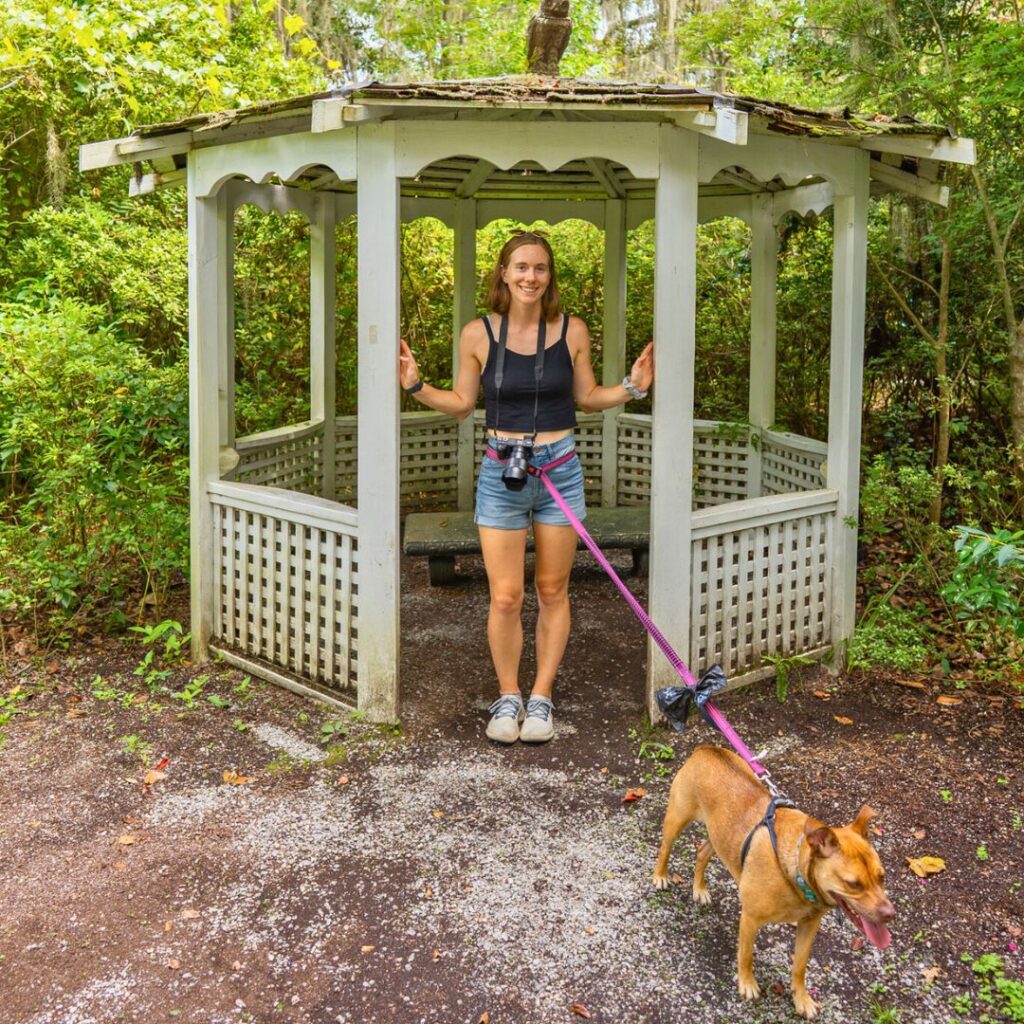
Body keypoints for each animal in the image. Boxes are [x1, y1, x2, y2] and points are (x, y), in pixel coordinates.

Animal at [651, 745, 892, 1015]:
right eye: (853, 884)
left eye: (882, 877)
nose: (890, 914)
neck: (796, 873)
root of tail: (706, 749)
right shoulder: (750, 919)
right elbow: (746, 956)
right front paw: (747, 984)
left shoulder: (809, 926)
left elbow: (799, 966)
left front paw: (801, 999)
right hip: (677, 819)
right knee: (665, 848)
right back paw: (660, 876)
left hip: (720, 837)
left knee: (702, 852)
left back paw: (700, 889)